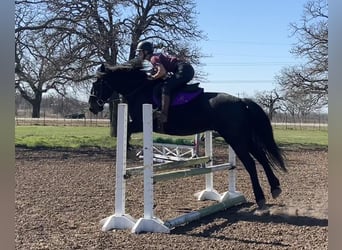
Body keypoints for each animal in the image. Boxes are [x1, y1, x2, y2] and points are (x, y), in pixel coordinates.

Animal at [87, 59, 286, 208]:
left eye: (96, 83)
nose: (92, 107)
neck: (139, 89)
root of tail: (241, 101)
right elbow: (126, 132)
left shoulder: (139, 123)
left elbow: (127, 131)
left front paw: (128, 150)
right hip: (243, 138)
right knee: (262, 157)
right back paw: (275, 188)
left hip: (235, 138)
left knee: (251, 163)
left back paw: (261, 197)